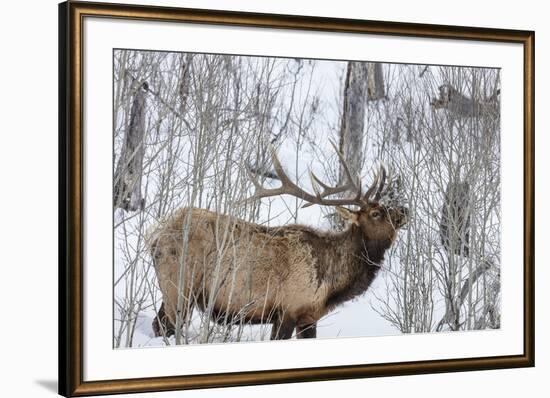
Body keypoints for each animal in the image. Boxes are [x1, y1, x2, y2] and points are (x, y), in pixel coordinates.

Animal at [148, 145, 410, 340]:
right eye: (376, 213)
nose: (404, 210)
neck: (331, 284)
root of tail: (155, 234)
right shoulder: (288, 308)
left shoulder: (308, 316)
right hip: (178, 285)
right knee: (164, 326)